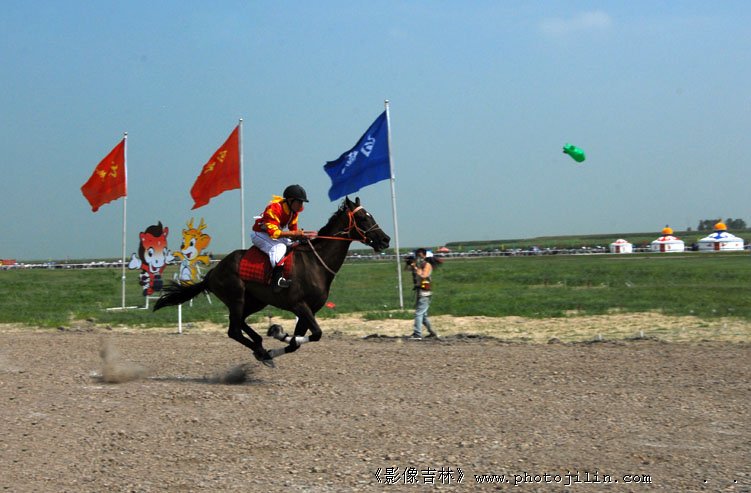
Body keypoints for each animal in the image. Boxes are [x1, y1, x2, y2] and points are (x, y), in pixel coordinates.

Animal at [153, 197, 390, 367]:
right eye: (363, 218)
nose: (385, 239)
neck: (315, 263)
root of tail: (212, 273)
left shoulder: (309, 310)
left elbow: (297, 342)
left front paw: (278, 334)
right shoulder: (300, 305)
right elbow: (315, 334)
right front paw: (276, 337)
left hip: (255, 301)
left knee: (239, 323)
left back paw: (260, 347)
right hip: (237, 297)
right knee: (233, 330)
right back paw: (260, 351)